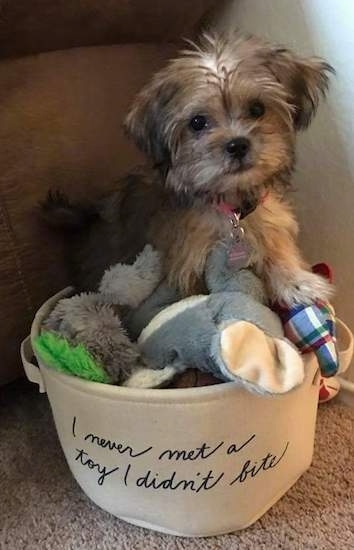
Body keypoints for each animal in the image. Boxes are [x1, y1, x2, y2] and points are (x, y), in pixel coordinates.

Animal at [42, 31, 334, 306]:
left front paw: (298, 282)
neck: (230, 207)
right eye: (197, 122)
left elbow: (275, 246)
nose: (237, 145)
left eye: (257, 108)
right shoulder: (189, 262)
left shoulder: (269, 222)